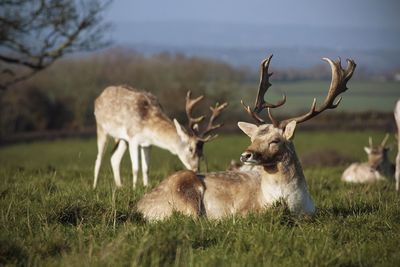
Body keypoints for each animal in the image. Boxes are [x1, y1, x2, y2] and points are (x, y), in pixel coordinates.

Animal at [92, 85, 227, 188]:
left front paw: (146, 186)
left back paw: (119, 186)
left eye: (202, 152)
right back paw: (94, 186)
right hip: (101, 127)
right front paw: (134, 188)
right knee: (99, 158)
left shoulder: (147, 144)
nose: (196, 170)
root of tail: (98, 97)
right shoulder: (133, 138)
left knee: (114, 157)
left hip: (122, 139)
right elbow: (135, 168)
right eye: (190, 149)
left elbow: (146, 168)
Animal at [138, 55, 356, 222]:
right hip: (184, 195)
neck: (296, 204)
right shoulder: (244, 211)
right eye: (253, 139)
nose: (246, 155)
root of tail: (140, 208)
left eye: (275, 140)